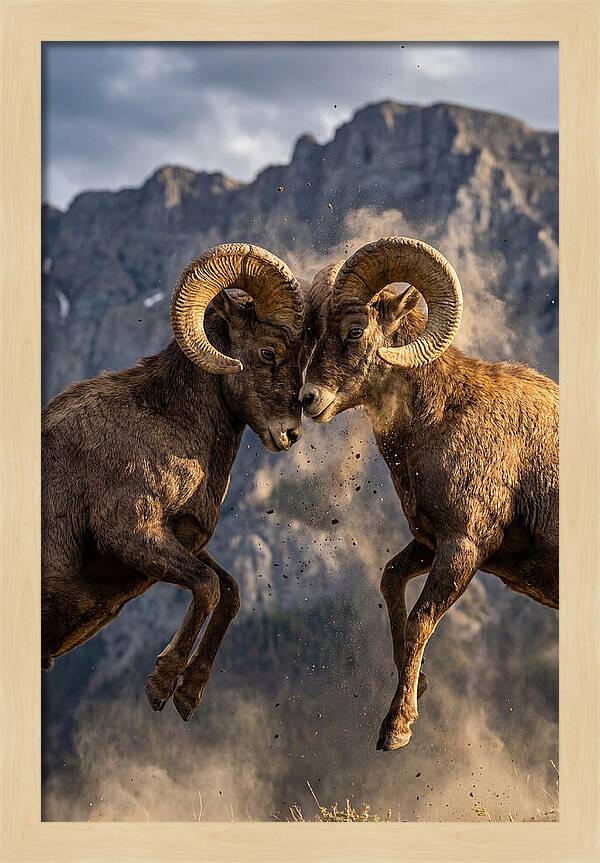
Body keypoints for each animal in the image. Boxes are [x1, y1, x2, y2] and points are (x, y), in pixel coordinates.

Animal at [42, 243, 306, 721]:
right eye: (268, 352)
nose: (290, 433)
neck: (169, 422)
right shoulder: (130, 533)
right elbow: (208, 587)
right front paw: (162, 685)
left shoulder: (181, 540)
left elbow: (230, 591)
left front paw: (188, 695)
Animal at [300, 236, 558, 750]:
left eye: (355, 330)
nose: (308, 400)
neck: (441, 418)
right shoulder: (429, 542)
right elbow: (390, 580)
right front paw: (416, 685)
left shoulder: (463, 547)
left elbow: (422, 619)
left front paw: (397, 728)